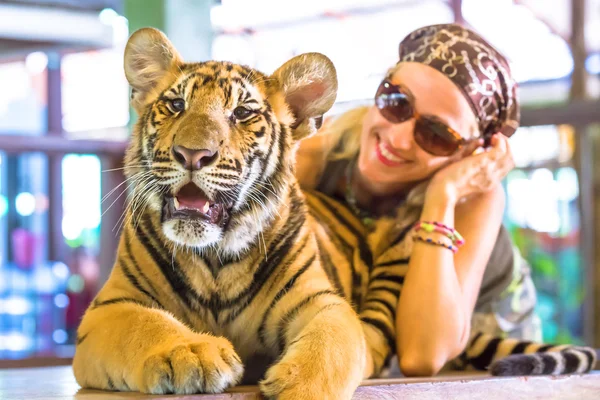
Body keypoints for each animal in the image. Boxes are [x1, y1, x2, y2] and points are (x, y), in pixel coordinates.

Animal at [72, 26, 596, 398]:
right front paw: (193, 354)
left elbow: (332, 350)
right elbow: (146, 325)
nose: (192, 154)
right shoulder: (110, 308)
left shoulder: (322, 304)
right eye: (175, 105)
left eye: (242, 114)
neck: (215, 258)